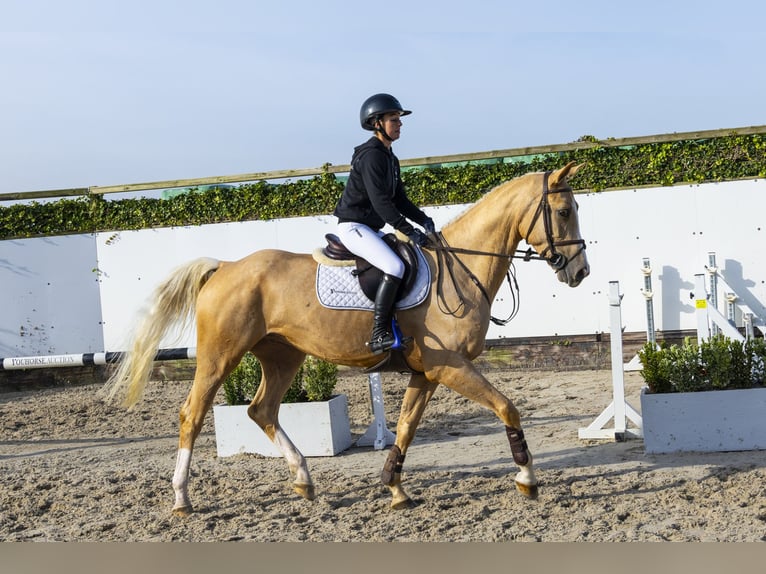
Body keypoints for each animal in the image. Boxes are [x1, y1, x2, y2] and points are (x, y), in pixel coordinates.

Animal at [105, 160, 592, 516]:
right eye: (564, 212)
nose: (580, 271)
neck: (458, 270)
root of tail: (225, 266)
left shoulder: (427, 373)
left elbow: (405, 427)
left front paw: (395, 488)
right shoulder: (449, 366)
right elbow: (507, 407)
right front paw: (527, 479)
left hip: (282, 357)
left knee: (262, 410)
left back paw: (303, 480)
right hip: (219, 356)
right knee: (192, 414)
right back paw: (182, 499)